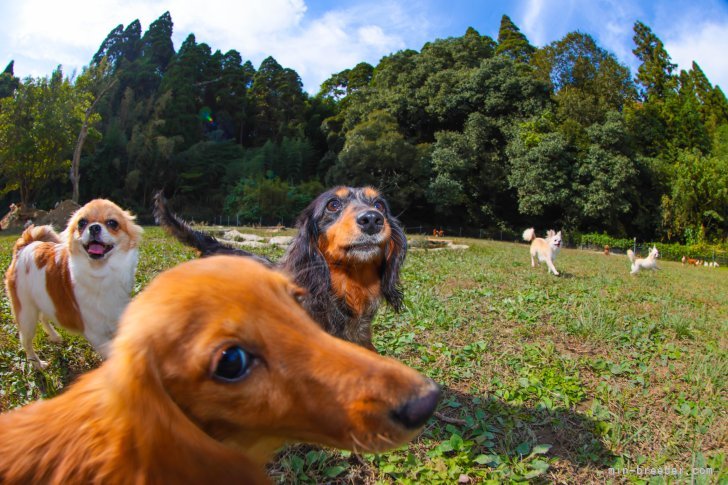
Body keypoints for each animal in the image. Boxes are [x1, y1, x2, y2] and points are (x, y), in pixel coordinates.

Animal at [4, 199, 142, 368]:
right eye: (81, 223)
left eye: (113, 223)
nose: (94, 227)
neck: (102, 273)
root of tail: (26, 244)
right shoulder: (95, 332)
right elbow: (113, 353)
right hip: (26, 312)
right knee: (26, 340)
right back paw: (37, 363)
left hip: (45, 299)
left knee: (44, 317)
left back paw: (55, 336)